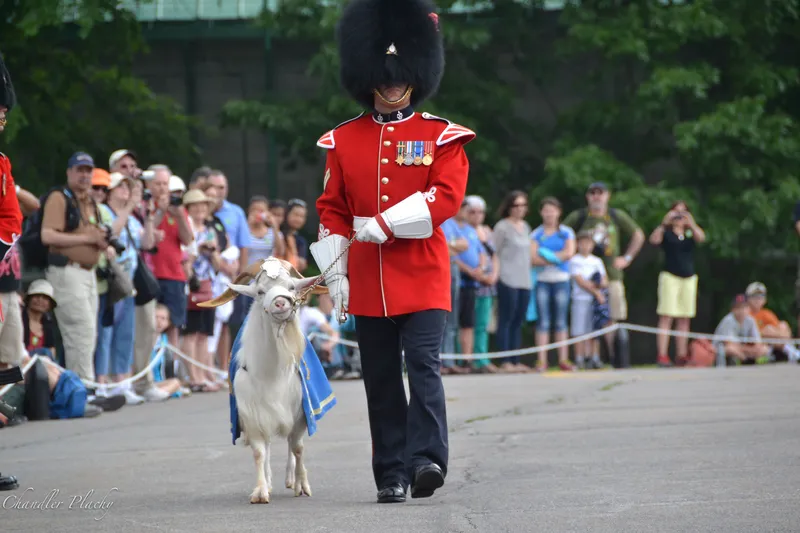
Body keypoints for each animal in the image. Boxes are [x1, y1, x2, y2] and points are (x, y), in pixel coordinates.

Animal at [203, 258, 334, 502]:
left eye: (291, 286)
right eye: (260, 291)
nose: (281, 303)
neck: (273, 374)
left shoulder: (300, 415)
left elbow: (298, 448)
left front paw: (302, 486)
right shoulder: (253, 416)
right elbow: (259, 452)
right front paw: (261, 491)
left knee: (291, 446)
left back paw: (291, 479)